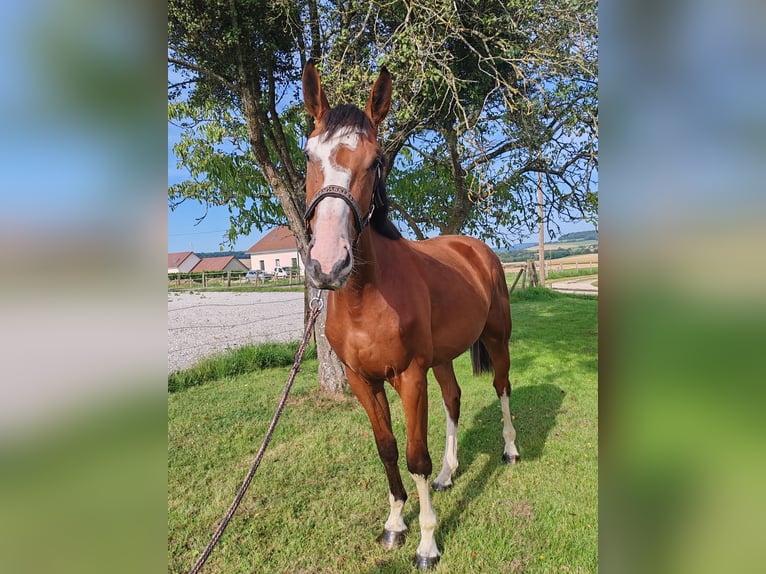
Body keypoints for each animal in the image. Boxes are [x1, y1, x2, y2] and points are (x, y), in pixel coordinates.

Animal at [304, 62, 520, 568]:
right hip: (441, 357)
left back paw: (510, 450)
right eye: (308, 155)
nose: (328, 264)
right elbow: (387, 449)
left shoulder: (409, 376)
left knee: (502, 387)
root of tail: (476, 248)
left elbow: (415, 455)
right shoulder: (362, 380)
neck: (366, 297)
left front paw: (427, 543)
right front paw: (394, 525)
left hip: (495, 339)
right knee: (454, 398)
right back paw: (449, 473)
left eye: (375, 161)